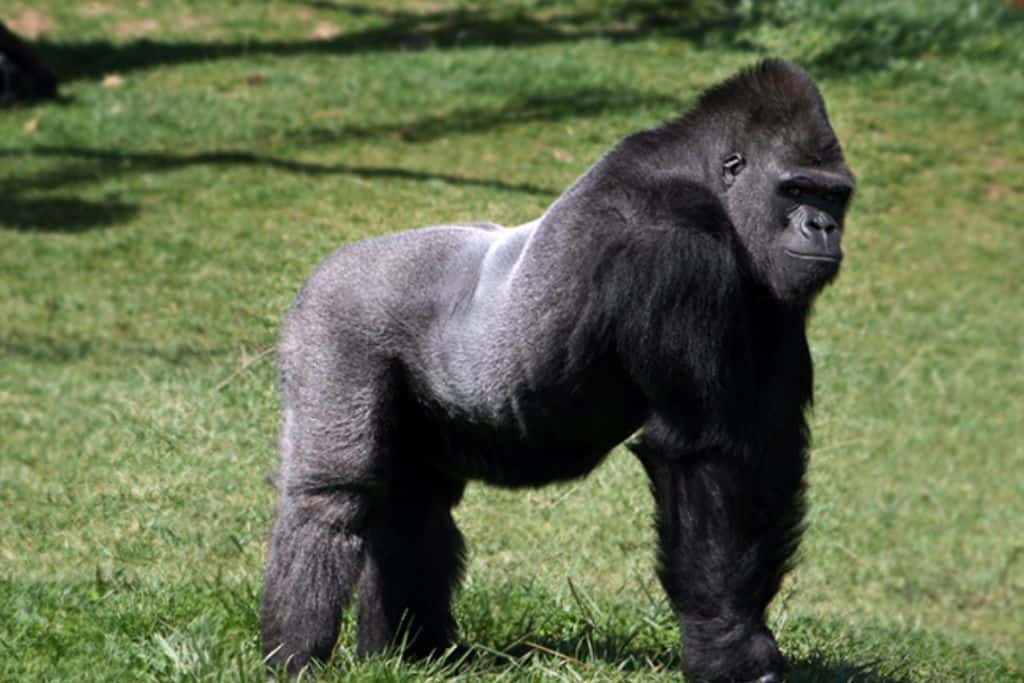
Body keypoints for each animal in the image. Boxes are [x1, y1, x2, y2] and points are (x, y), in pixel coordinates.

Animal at [260, 60, 851, 683]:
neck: (705, 182)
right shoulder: (672, 252)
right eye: (795, 189)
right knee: (330, 496)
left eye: (833, 196)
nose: (822, 227)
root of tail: (324, 268)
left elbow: (766, 448)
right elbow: (707, 454)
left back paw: (408, 652)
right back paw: (294, 653)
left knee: (414, 504)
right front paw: (729, 644)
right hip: (331, 321)